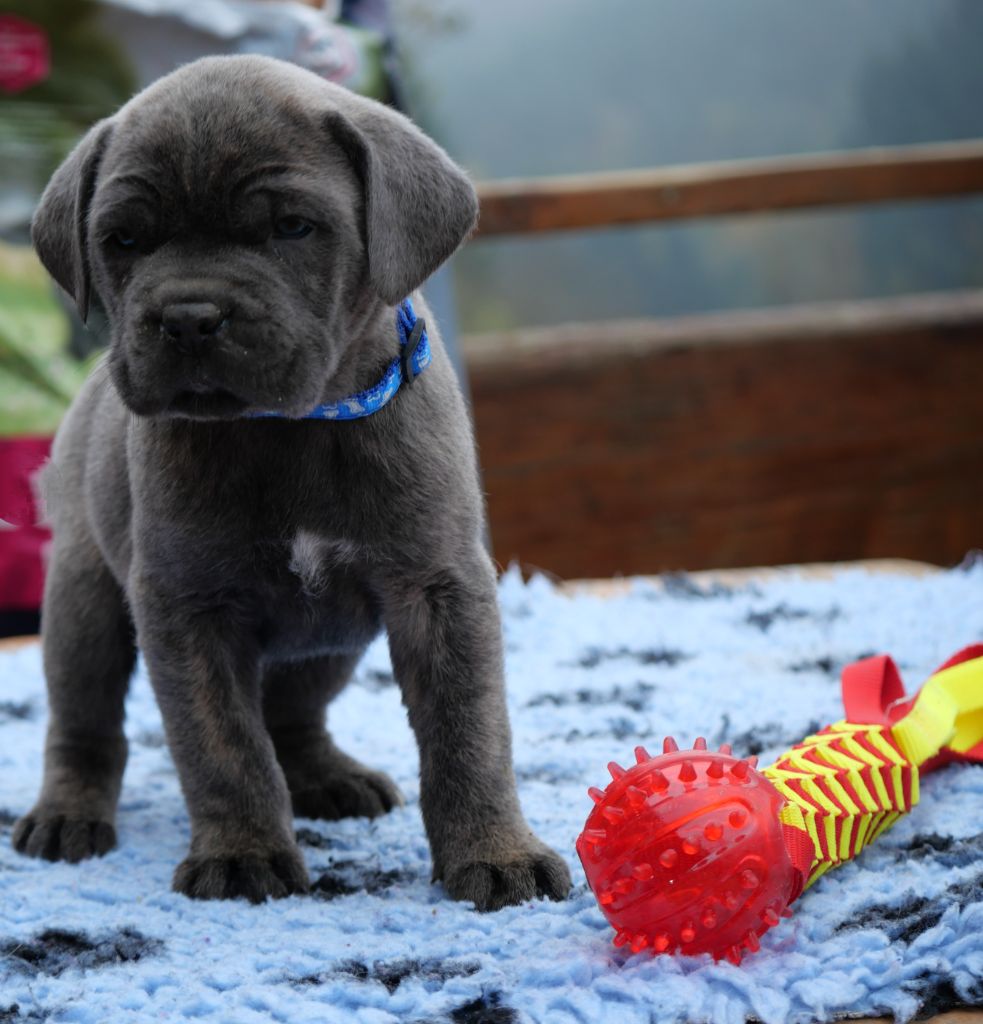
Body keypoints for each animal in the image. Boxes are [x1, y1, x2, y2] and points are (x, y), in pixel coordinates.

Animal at [11, 54, 573, 913]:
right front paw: (243, 853)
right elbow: (222, 746)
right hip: (84, 605)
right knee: (85, 723)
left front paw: (495, 851)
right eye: (125, 239)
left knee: (291, 712)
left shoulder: (438, 588)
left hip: (330, 642)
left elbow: (468, 732)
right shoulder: (187, 605)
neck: (292, 427)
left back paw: (326, 777)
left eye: (292, 228)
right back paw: (68, 813)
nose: (188, 316)